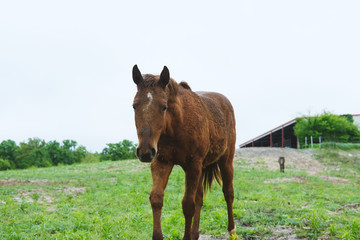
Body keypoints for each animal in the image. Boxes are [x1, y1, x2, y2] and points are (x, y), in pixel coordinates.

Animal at [132, 64, 236, 239]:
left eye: (164, 107)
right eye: (134, 106)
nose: (145, 152)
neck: (176, 126)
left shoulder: (193, 164)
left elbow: (188, 204)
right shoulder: (162, 163)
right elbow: (156, 198)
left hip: (225, 162)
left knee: (228, 193)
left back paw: (232, 231)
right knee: (200, 197)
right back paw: (195, 233)